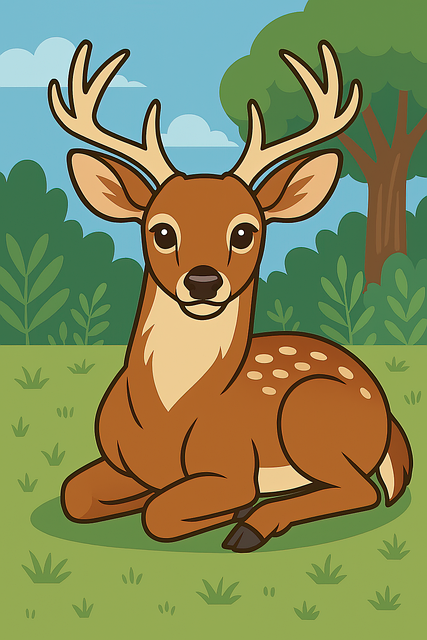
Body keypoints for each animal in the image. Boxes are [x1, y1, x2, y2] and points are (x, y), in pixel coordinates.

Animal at [48, 39, 412, 553]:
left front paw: (230, 510)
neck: (165, 424)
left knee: (362, 489)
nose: (203, 282)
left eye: (245, 231)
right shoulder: (117, 462)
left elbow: (160, 513)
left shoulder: (234, 464)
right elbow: (74, 494)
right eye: (161, 230)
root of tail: (385, 411)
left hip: (308, 410)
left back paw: (252, 524)